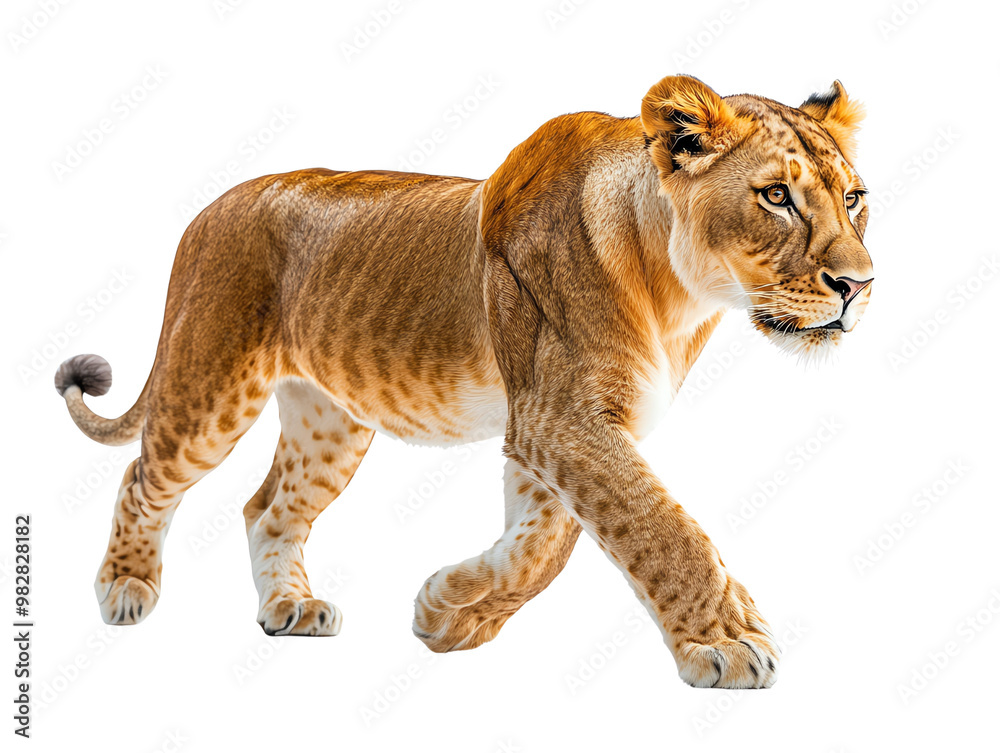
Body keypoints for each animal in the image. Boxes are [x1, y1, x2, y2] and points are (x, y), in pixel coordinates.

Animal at [55, 75, 873, 688]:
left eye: (853, 198)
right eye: (776, 196)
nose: (859, 285)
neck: (676, 294)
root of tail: (206, 210)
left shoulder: (551, 431)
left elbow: (543, 549)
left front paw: (448, 611)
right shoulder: (560, 419)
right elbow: (660, 526)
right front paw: (727, 642)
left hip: (330, 423)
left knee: (268, 508)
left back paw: (290, 606)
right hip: (211, 385)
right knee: (143, 476)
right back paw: (124, 587)